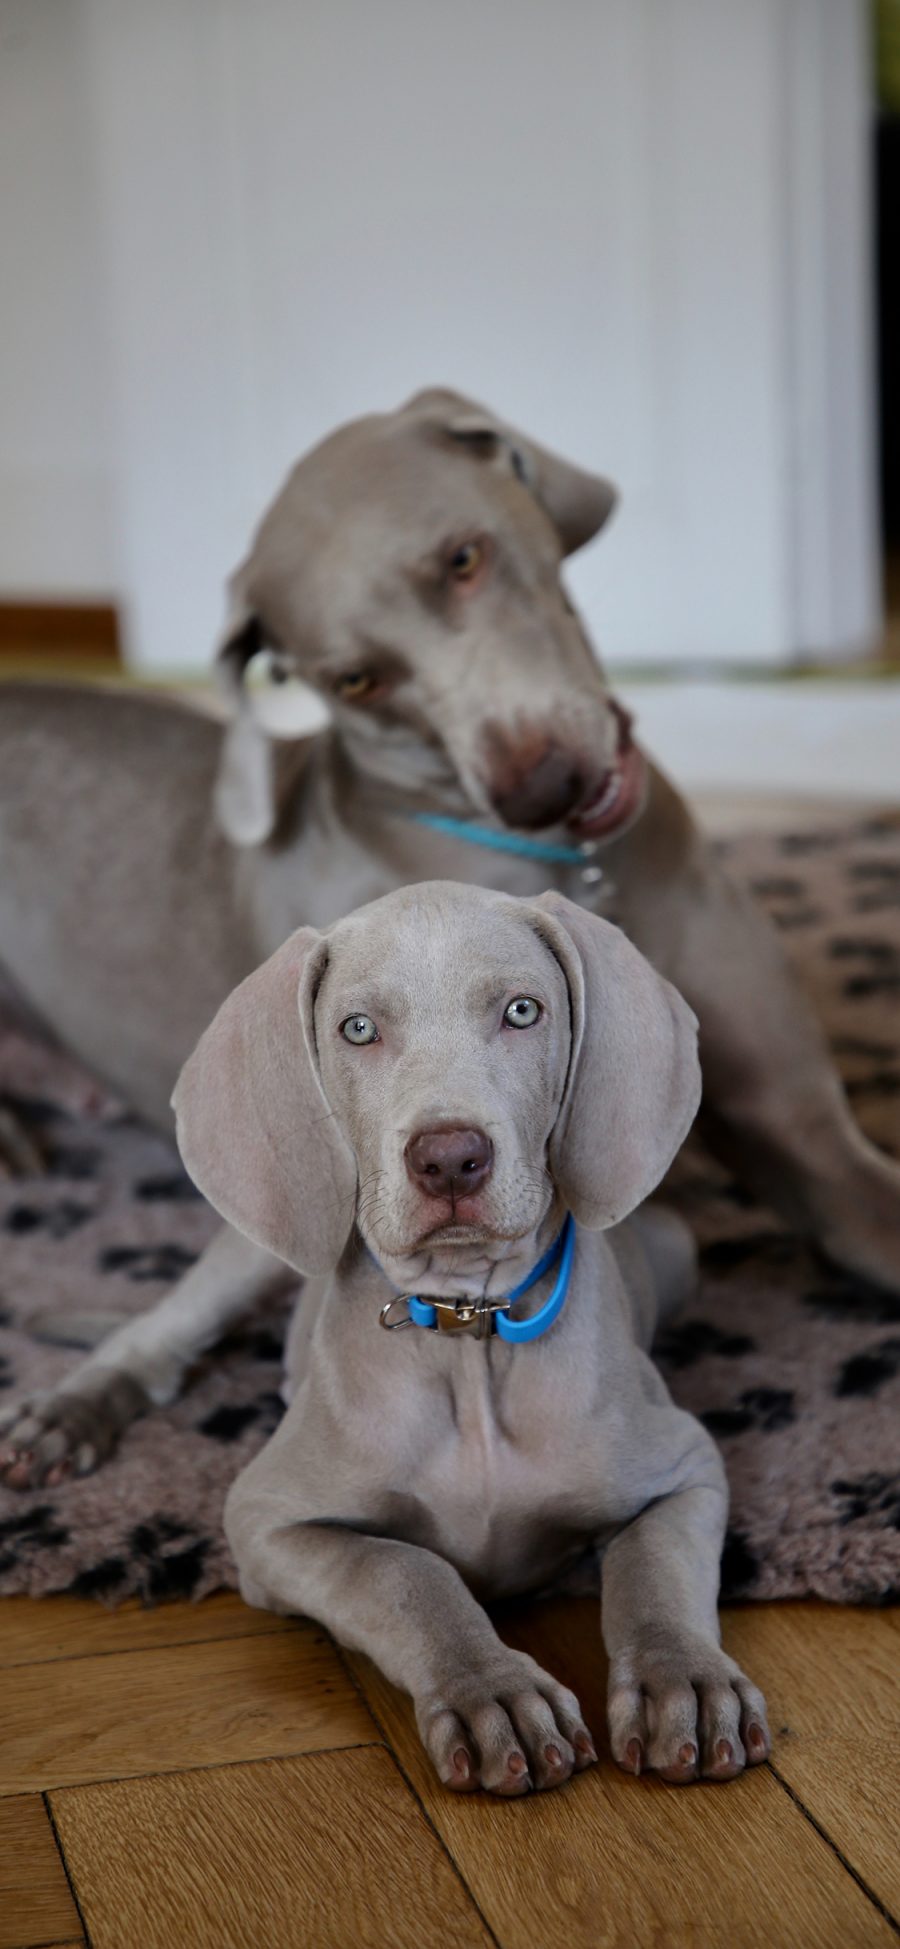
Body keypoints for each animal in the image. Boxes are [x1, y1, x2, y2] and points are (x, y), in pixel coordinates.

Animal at [1, 383, 900, 1489]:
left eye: (464, 558)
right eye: (355, 679)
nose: (540, 781)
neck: (576, 864)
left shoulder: (811, 1136)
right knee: (164, 1324)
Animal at [177, 884, 775, 1793]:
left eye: (522, 1010)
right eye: (358, 1028)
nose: (450, 1158)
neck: (469, 1329)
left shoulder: (686, 1469)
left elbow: (653, 1568)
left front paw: (686, 1680)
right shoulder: (267, 1519)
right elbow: (402, 1570)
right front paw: (491, 1692)